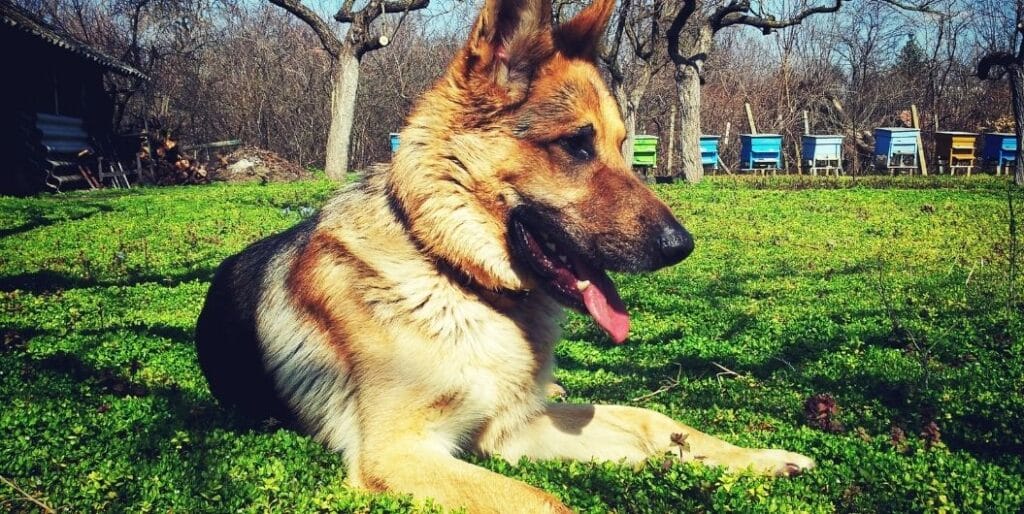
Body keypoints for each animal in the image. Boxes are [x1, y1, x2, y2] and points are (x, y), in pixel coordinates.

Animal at [195, 0, 811, 509]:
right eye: (576, 145)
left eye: (621, 147)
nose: (682, 246)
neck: (453, 275)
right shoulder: (400, 453)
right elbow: (547, 501)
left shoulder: (511, 429)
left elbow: (650, 419)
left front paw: (758, 459)